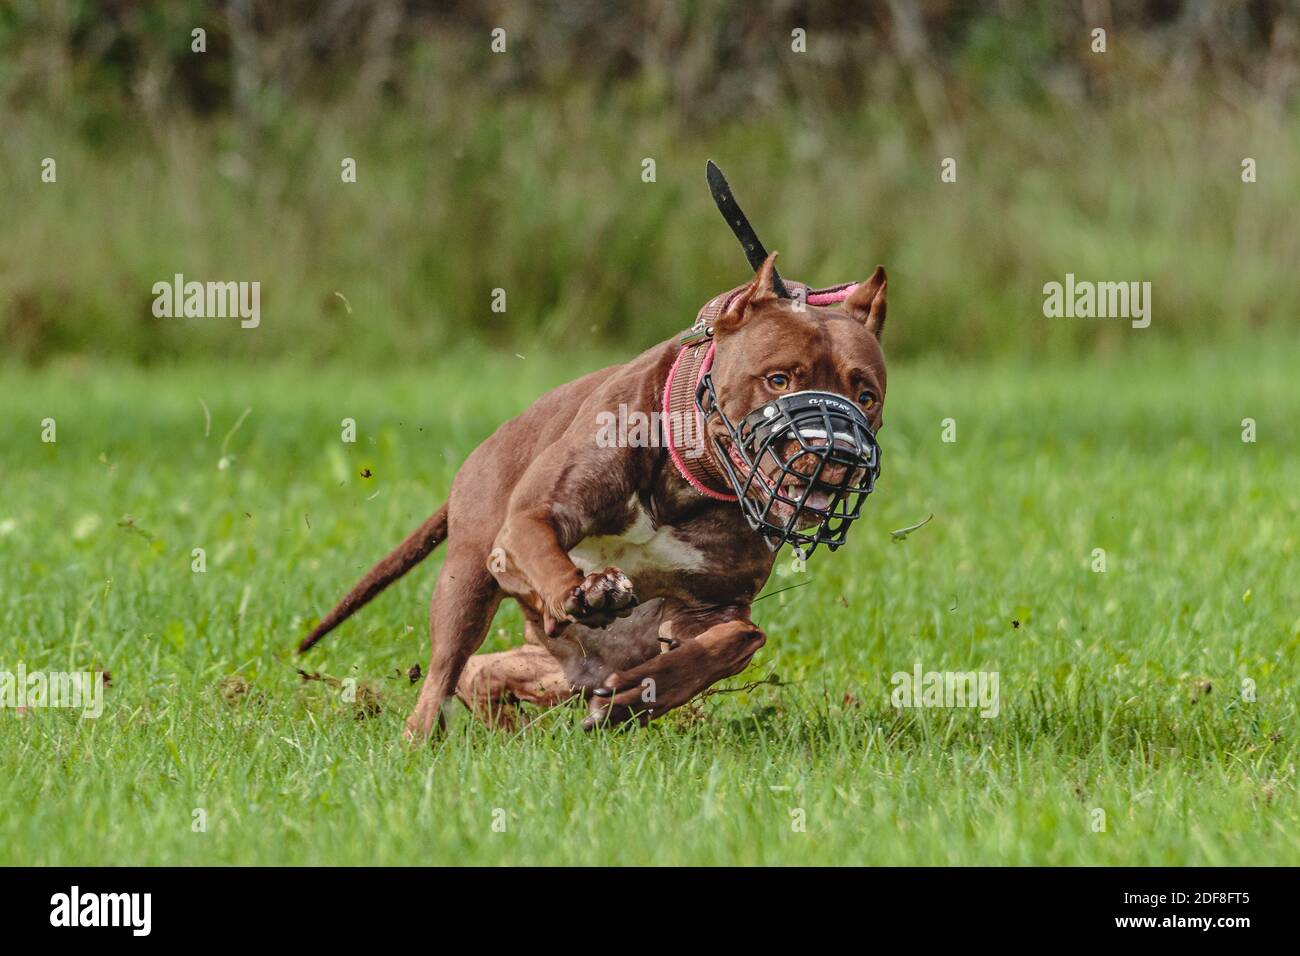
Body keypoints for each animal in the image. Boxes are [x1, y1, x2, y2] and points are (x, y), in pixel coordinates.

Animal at [297, 251, 883, 738]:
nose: (838, 454)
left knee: (483, 672)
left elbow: (742, 639)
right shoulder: (529, 524)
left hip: (581, 663)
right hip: (467, 582)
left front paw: (637, 698)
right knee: (443, 674)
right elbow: (548, 550)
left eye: (866, 395)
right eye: (778, 379)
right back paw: (424, 740)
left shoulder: (713, 606)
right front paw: (586, 590)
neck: (689, 480)